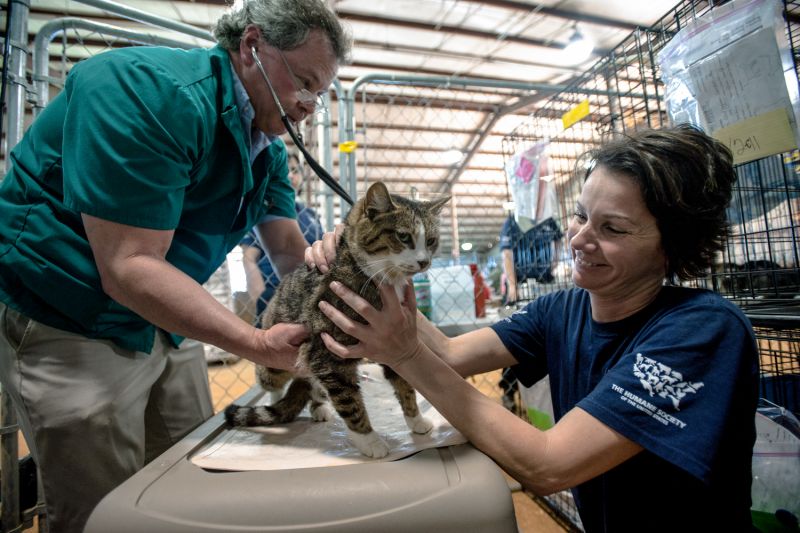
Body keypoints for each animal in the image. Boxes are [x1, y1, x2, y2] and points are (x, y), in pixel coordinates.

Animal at [225, 181, 450, 456]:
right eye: (404, 236)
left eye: (431, 241)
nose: (424, 261)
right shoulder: (327, 352)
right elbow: (349, 401)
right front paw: (368, 439)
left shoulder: (394, 345)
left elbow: (405, 384)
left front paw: (415, 420)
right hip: (274, 361)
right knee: (270, 381)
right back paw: (279, 402)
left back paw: (318, 405)